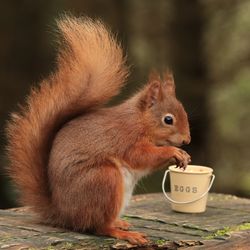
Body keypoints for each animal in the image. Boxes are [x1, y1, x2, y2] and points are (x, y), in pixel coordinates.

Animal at [6, 15, 191, 244]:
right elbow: (141, 156)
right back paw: (123, 233)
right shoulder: (126, 138)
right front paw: (174, 152)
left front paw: (184, 155)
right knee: (99, 227)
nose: (187, 140)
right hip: (104, 179)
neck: (140, 120)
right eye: (168, 119)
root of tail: (65, 215)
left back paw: (120, 223)